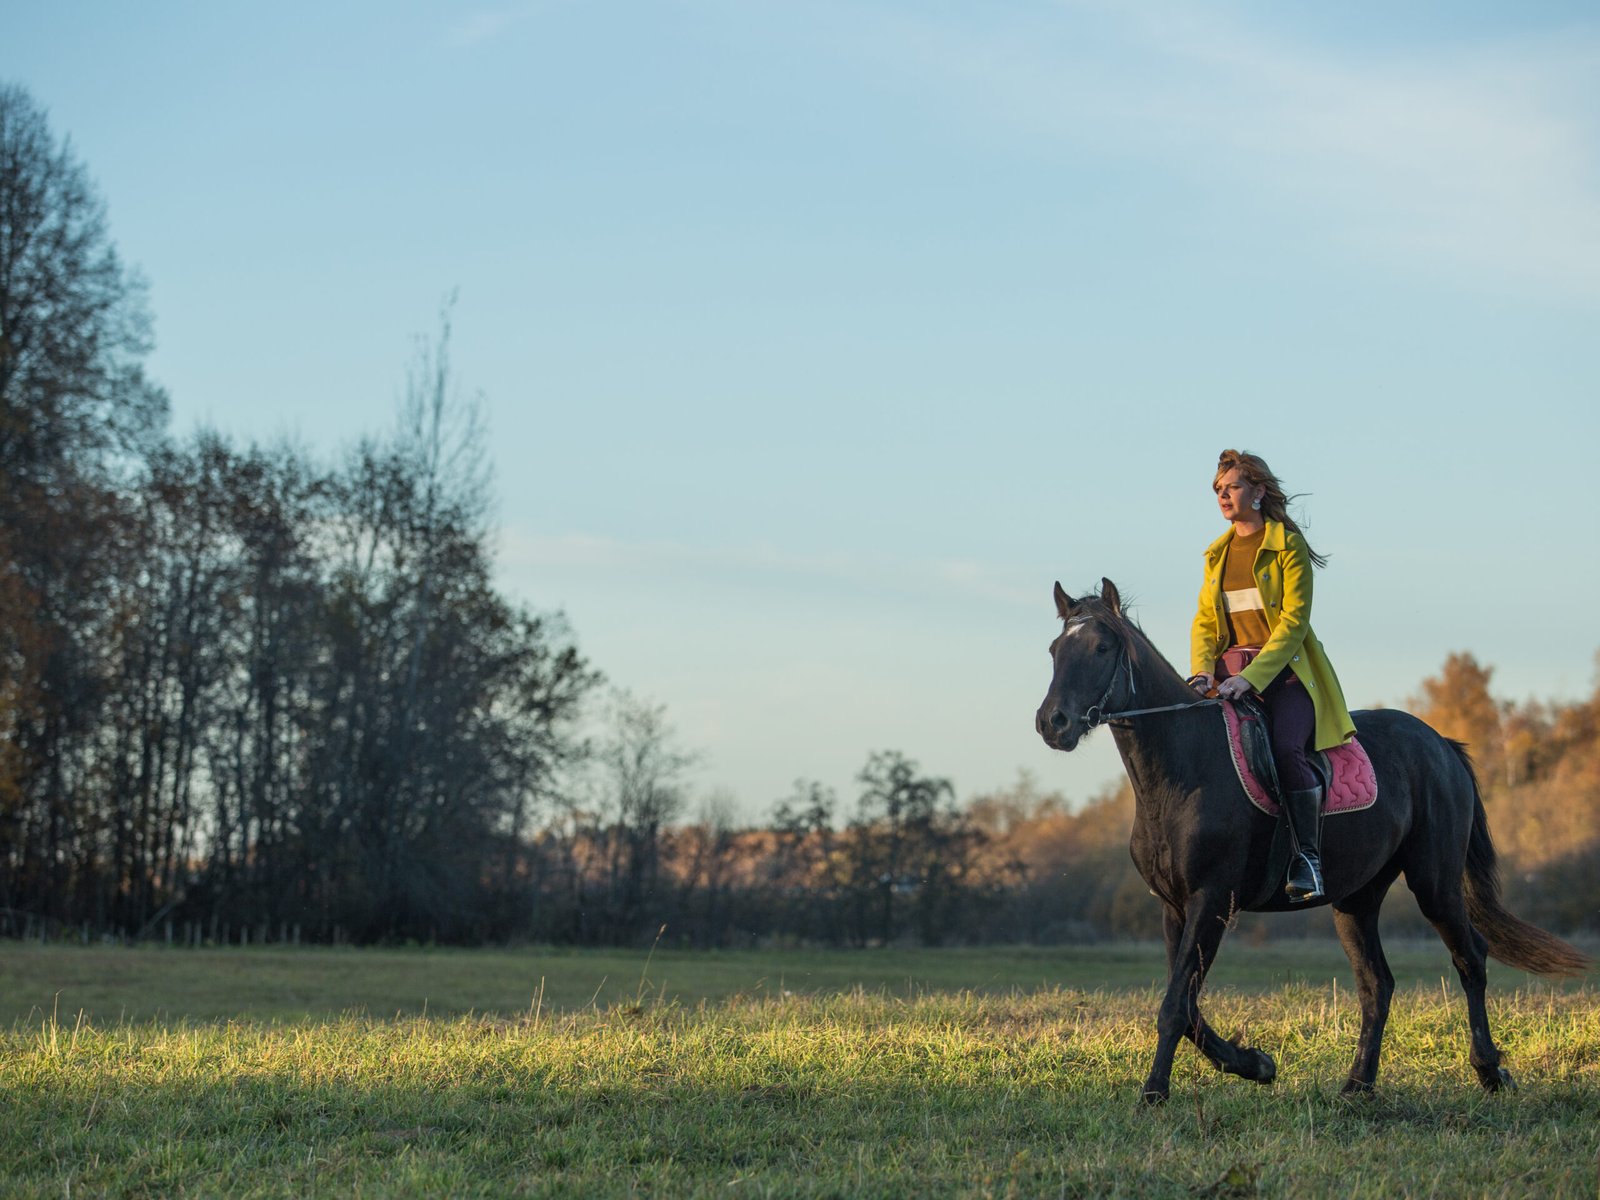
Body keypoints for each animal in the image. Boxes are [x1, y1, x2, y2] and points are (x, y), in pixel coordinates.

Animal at [1034, 578, 1589, 1104]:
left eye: (1102, 648)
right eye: (1056, 650)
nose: (1052, 723)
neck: (1183, 769)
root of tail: (1440, 745)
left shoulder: (1212, 900)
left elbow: (1175, 1006)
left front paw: (1154, 1094)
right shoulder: (1174, 907)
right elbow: (1187, 1004)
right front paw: (1256, 1065)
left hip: (1435, 882)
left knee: (1470, 957)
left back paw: (1490, 1071)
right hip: (1356, 899)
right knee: (1377, 984)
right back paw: (1358, 1085)